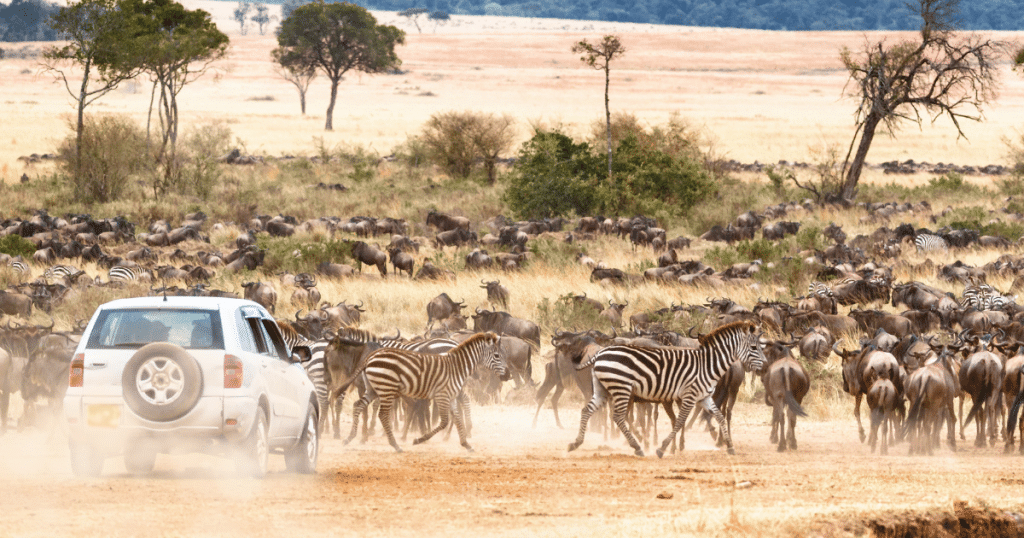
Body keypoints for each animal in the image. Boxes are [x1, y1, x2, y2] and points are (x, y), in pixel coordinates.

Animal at [333, 334, 505, 450]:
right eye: (497, 355)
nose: (508, 374)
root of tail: (370, 358)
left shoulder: (449, 396)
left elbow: (452, 416)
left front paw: (465, 443)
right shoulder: (440, 394)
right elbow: (440, 419)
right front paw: (419, 438)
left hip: (375, 389)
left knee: (360, 405)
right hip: (385, 389)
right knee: (379, 412)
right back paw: (394, 444)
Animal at [569, 319, 770, 457]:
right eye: (754, 347)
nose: (767, 366)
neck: (707, 365)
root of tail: (601, 352)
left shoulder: (704, 397)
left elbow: (719, 417)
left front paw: (729, 446)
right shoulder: (689, 396)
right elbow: (680, 421)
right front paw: (663, 448)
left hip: (603, 389)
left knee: (586, 410)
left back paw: (576, 443)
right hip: (621, 388)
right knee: (618, 416)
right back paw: (637, 447)